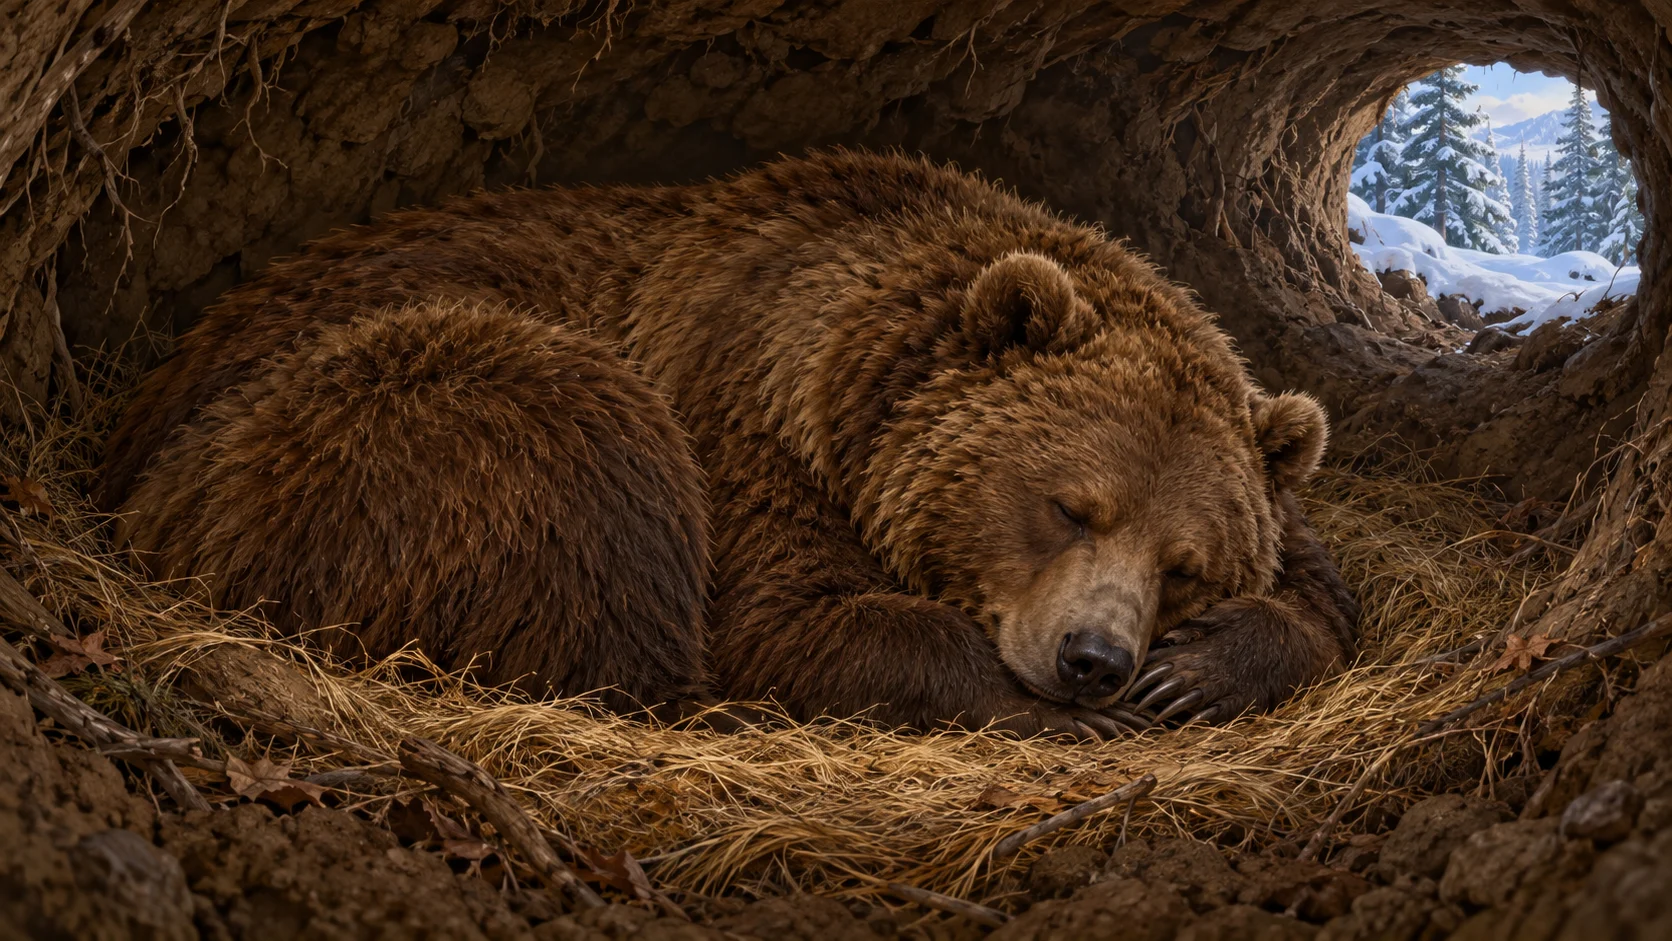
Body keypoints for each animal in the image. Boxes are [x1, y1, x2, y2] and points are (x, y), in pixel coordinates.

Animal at [98, 149, 1358, 738]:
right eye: (1068, 504)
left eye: (1185, 562)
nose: (1095, 656)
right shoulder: (746, 405)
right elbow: (789, 620)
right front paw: (1059, 710)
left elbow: (1323, 586)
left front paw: (1200, 667)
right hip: (354, 422)